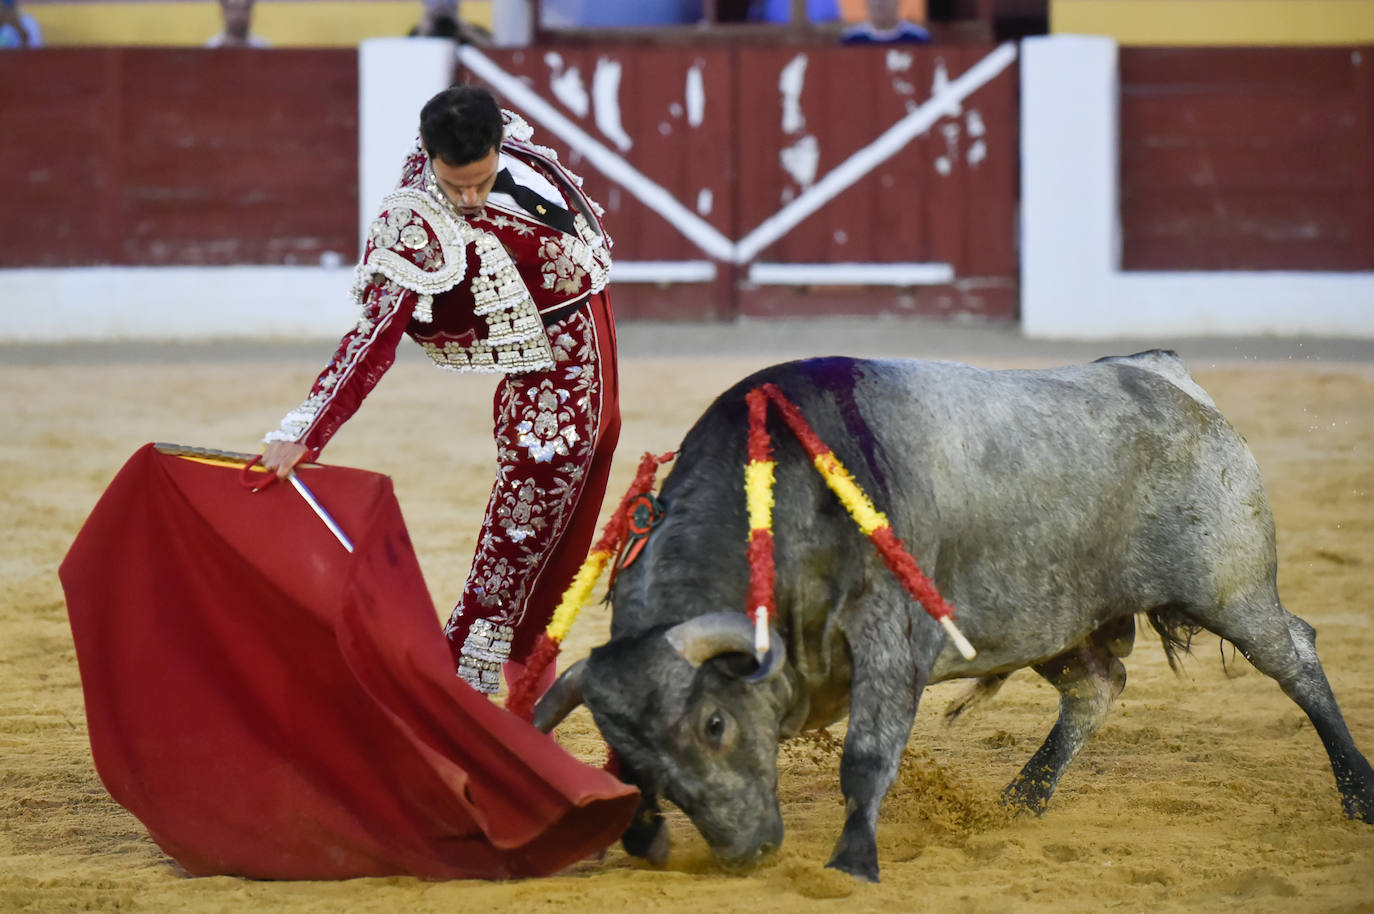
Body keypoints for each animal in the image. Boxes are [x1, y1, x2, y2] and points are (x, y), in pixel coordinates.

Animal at [530, 349, 1368, 879]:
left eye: (713, 724)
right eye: (629, 747)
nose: (745, 852)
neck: (783, 504)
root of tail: (1163, 372)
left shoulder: (891, 640)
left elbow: (867, 757)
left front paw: (852, 865)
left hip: (1231, 590)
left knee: (1297, 657)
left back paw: (1358, 793)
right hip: (1049, 615)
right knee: (1097, 685)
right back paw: (1024, 799)